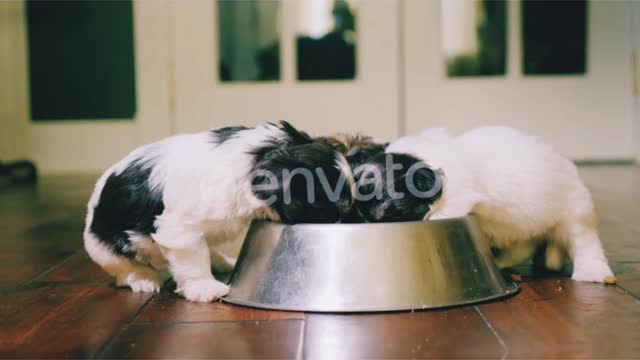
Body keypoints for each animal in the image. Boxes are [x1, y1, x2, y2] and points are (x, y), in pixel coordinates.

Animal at [84, 122, 356, 302]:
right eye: (329, 210)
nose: (347, 221)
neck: (254, 158)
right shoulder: (180, 229)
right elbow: (193, 258)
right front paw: (204, 287)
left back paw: (222, 261)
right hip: (106, 248)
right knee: (124, 269)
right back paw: (143, 279)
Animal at [356, 126, 616, 284]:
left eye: (390, 212)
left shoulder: (458, 197)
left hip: (575, 212)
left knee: (584, 242)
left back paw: (593, 271)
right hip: (520, 228)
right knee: (523, 247)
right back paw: (500, 261)